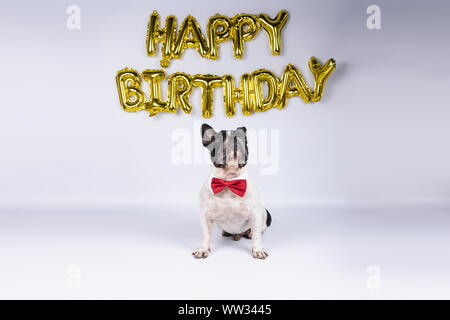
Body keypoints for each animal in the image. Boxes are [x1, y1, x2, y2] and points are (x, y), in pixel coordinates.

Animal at [192, 124, 272, 258]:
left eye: (241, 137)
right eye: (220, 138)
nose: (235, 138)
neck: (228, 181)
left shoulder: (255, 214)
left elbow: (256, 236)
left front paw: (258, 250)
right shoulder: (205, 215)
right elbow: (206, 235)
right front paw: (203, 249)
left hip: (262, 214)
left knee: (260, 229)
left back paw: (249, 233)